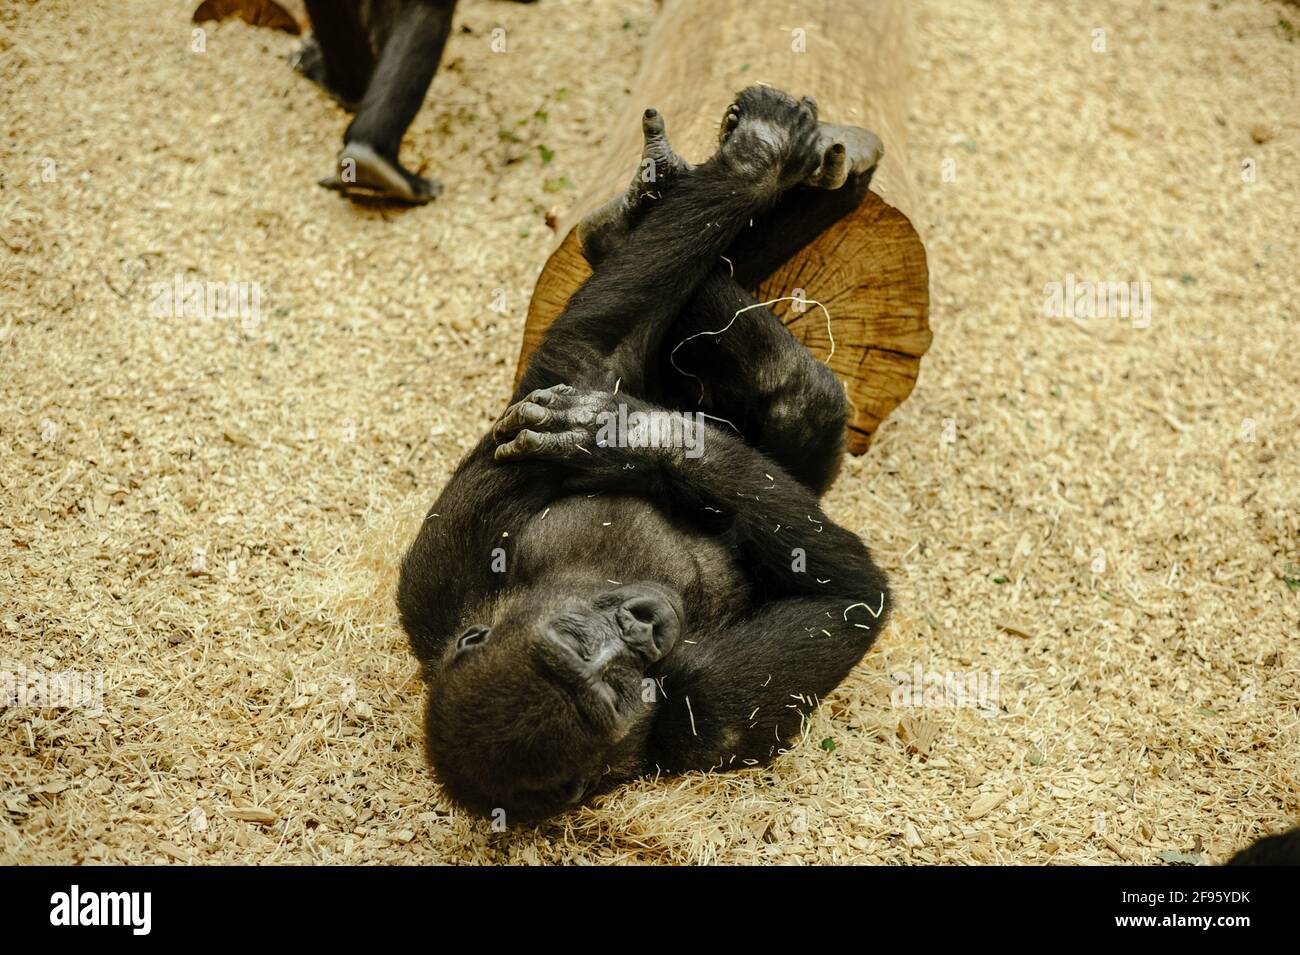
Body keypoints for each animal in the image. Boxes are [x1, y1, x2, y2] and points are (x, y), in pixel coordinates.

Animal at [400, 85, 894, 826]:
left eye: (580, 636)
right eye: (613, 682)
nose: (642, 626)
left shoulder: (450, 550)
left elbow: (599, 347)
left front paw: (612, 435)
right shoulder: (698, 707)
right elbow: (854, 601)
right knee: (785, 386)